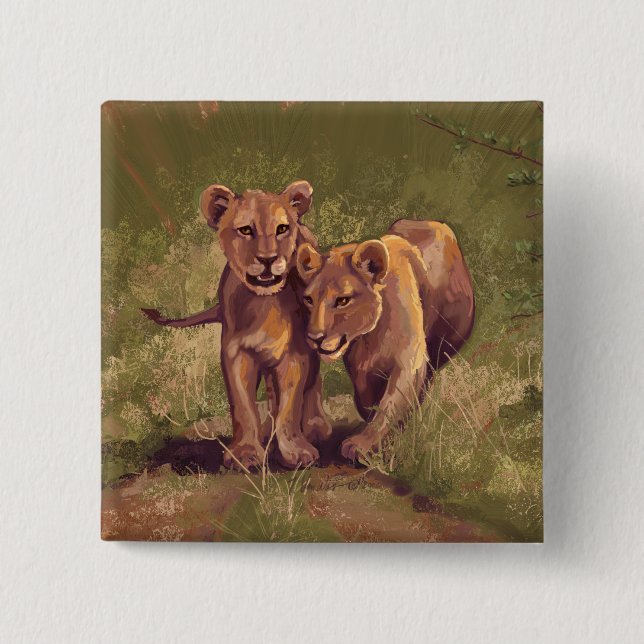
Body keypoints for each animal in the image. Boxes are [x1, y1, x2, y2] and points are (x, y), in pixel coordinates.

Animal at [143, 181, 332, 470]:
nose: (268, 259)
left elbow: (290, 405)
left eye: (282, 229)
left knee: (312, 383)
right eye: (245, 230)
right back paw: (267, 433)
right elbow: (243, 407)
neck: (265, 303)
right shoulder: (236, 354)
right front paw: (245, 453)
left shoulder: (295, 354)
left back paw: (315, 427)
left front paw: (296, 450)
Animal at [296, 218, 474, 461]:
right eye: (309, 300)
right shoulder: (360, 366)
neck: (371, 335)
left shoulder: (409, 360)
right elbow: (368, 396)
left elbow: (390, 404)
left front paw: (362, 444)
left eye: (342, 300)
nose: (315, 338)